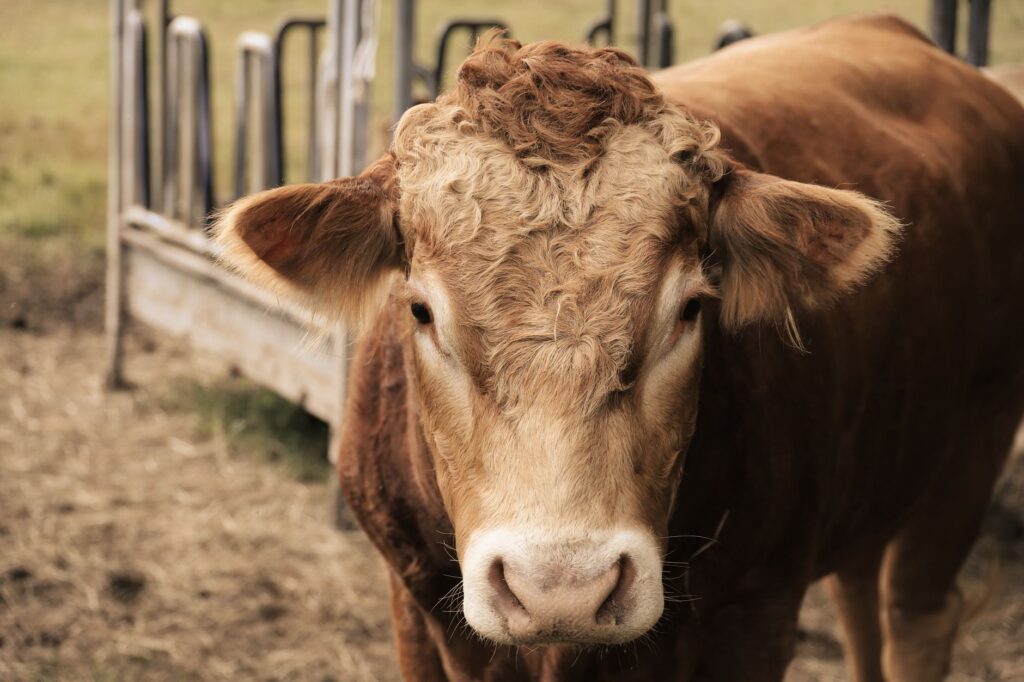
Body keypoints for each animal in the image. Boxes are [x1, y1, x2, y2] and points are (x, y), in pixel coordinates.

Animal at [215, 14, 1024, 682]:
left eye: (692, 309)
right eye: (420, 311)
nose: (562, 589)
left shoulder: (758, 614)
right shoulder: (412, 606)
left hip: (974, 448)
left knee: (914, 615)